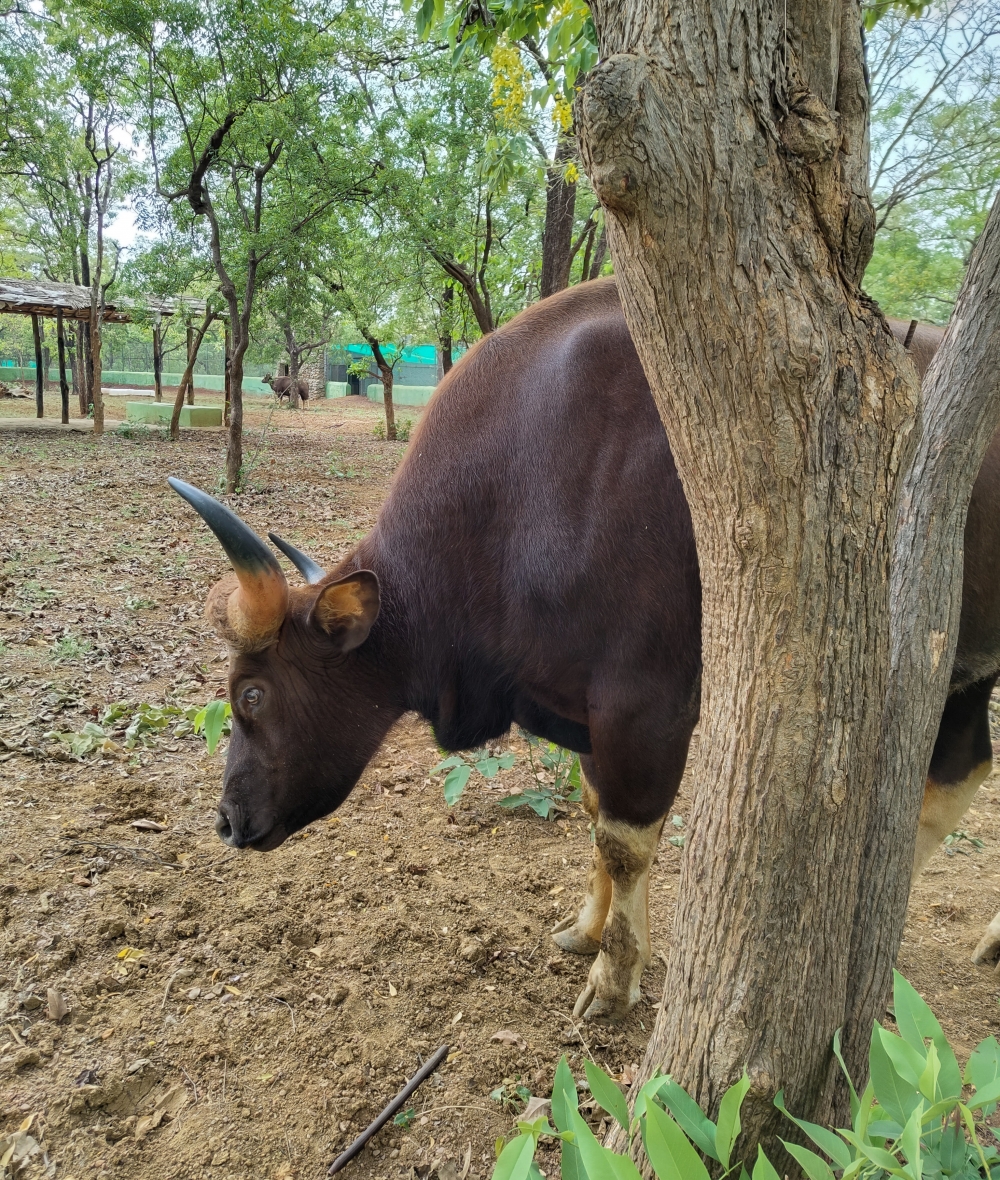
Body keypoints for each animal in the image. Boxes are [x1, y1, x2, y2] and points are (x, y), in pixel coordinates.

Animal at [168, 278, 999, 1022]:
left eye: (251, 694)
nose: (227, 820)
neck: (527, 485)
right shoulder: (585, 710)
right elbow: (597, 816)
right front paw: (588, 928)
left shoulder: (647, 708)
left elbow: (625, 839)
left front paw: (616, 977)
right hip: (960, 667)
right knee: (961, 770)